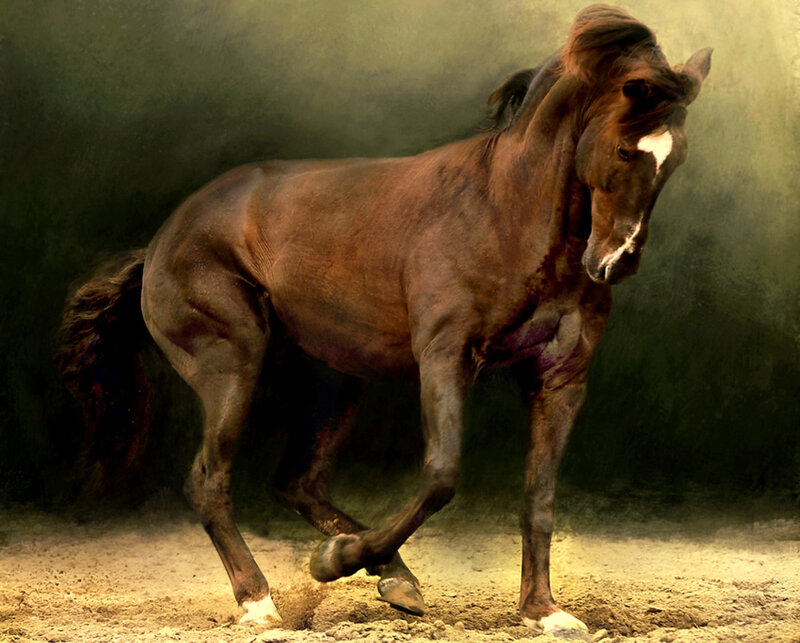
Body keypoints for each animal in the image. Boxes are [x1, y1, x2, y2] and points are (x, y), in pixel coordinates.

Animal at [58, 5, 711, 636]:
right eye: (625, 148)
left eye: (675, 158)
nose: (616, 262)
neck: (505, 213)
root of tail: (160, 242)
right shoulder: (446, 357)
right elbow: (442, 476)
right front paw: (333, 563)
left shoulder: (560, 377)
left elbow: (540, 495)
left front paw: (544, 611)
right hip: (231, 364)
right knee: (209, 481)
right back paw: (262, 603)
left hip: (333, 378)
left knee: (295, 481)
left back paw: (393, 578)